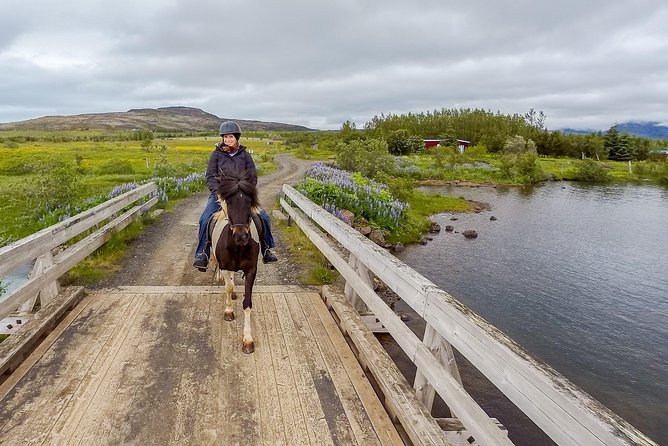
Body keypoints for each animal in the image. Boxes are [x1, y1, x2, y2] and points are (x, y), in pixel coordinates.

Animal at [211, 169, 260, 354]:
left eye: (249, 201)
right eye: (229, 202)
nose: (241, 236)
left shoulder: (251, 270)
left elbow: (247, 302)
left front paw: (247, 339)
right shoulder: (225, 266)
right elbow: (228, 286)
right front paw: (229, 311)